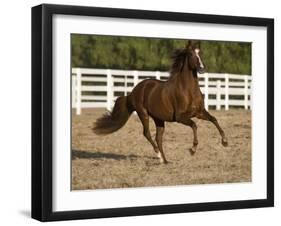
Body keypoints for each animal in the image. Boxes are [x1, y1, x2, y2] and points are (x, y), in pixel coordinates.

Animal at [94, 40, 228, 163]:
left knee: (158, 137)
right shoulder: (180, 117)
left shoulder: (199, 112)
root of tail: (133, 92)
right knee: (147, 133)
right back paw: (159, 155)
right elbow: (194, 125)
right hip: (143, 114)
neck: (188, 90)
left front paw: (225, 142)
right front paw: (192, 150)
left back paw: (165, 160)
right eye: (190, 54)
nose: (202, 69)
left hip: (158, 119)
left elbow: (214, 119)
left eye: (200, 53)